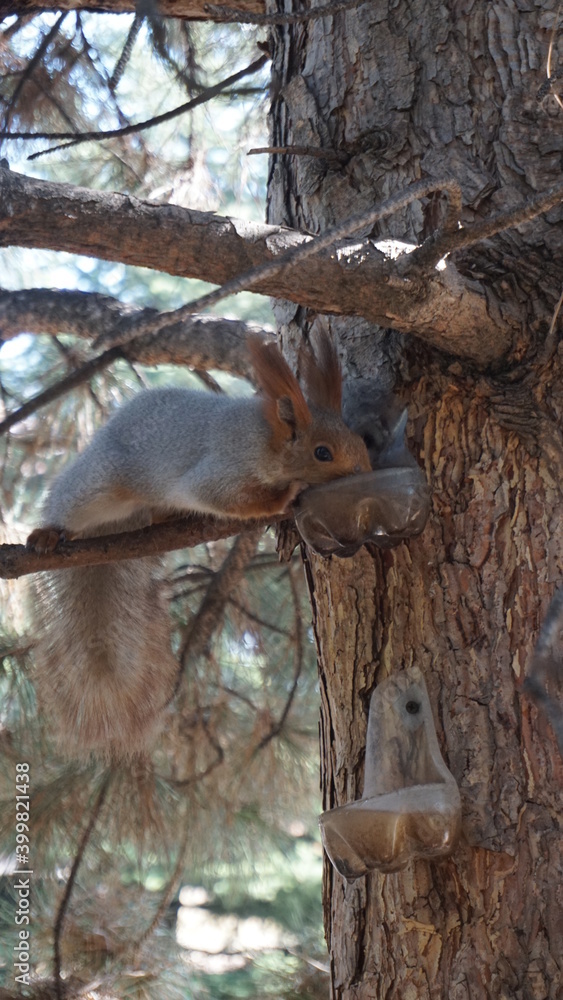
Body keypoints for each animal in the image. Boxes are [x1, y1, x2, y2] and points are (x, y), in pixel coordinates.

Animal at [27, 333, 370, 758]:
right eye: (322, 452)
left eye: (361, 440)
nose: (366, 472)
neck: (266, 438)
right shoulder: (220, 470)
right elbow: (225, 498)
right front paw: (287, 496)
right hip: (98, 483)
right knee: (68, 503)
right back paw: (48, 531)